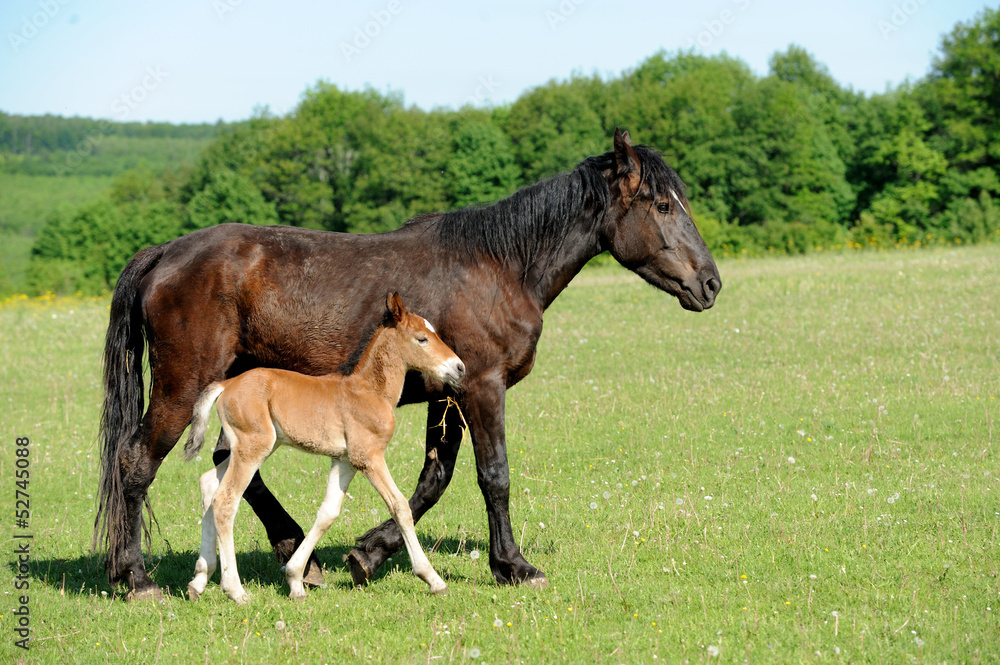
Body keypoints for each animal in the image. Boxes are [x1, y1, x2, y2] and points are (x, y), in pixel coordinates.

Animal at [184, 292, 464, 600]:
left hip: (255, 447)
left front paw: (295, 580)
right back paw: (235, 590)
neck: (369, 391)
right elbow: (400, 506)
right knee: (226, 500)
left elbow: (328, 513)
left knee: (208, 483)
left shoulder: (344, 461)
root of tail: (226, 385)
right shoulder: (368, 457)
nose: (459, 367)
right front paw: (432, 578)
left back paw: (199, 579)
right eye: (422, 339)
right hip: (252, 448)